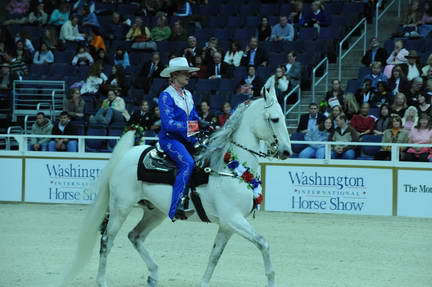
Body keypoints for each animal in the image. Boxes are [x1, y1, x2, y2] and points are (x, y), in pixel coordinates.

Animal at [61, 88, 290, 287]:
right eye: (275, 119)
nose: (286, 151)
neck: (230, 167)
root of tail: (127, 154)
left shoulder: (227, 225)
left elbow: (214, 256)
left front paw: (203, 283)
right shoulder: (233, 218)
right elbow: (263, 243)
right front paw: (271, 281)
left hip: (154, 212)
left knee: (135, 236)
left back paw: (153, 275)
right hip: (120, 208)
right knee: (107, 240)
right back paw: (102, 281)